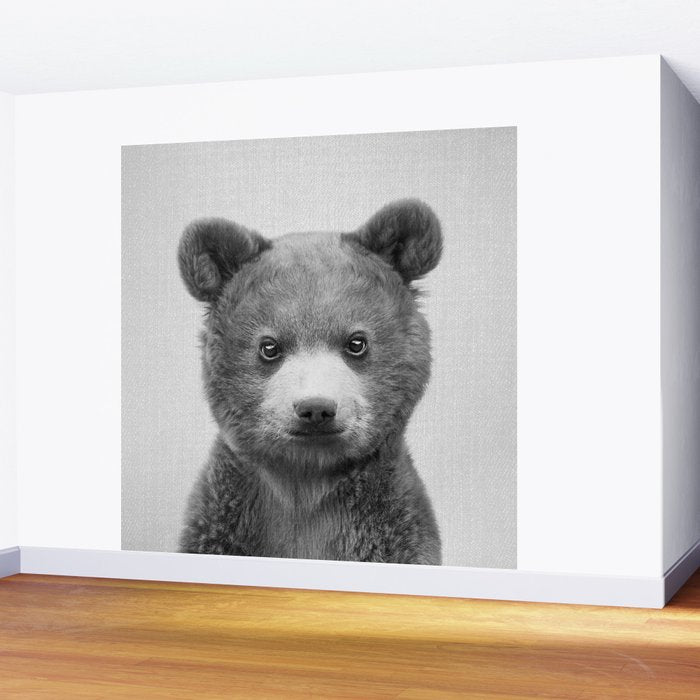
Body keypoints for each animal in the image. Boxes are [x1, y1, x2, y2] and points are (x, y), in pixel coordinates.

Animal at [177, 199, 443, 565]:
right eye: (269, 346)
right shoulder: (223, 523)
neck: (306, 481)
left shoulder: (392, 531)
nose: (316, 408)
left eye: (356, 342)